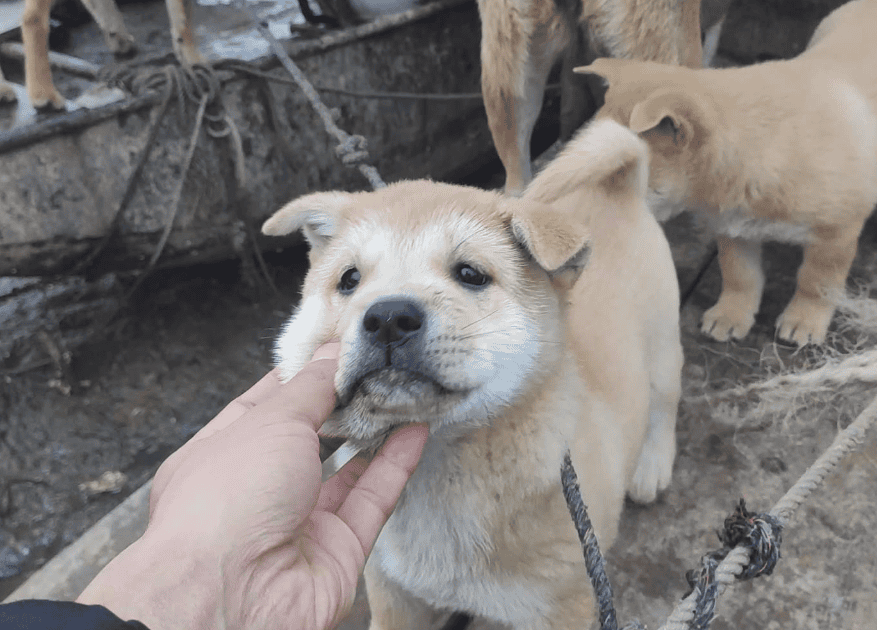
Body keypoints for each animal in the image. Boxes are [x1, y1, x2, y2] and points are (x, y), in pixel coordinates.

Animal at [262, 119, 684, 630]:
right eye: (349, 280)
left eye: (470, 274)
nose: (388, 318)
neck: (441, 462)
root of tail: (618, 189)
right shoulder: (394, 591)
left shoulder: (561, 604)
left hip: (663, 345)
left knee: (664, 405)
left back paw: (651, 465)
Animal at [576, 0, 876, 346]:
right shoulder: (734, 230)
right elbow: (739, 276)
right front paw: (730, 316)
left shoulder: (836, 234)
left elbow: (816, 283)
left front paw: (804, 321)